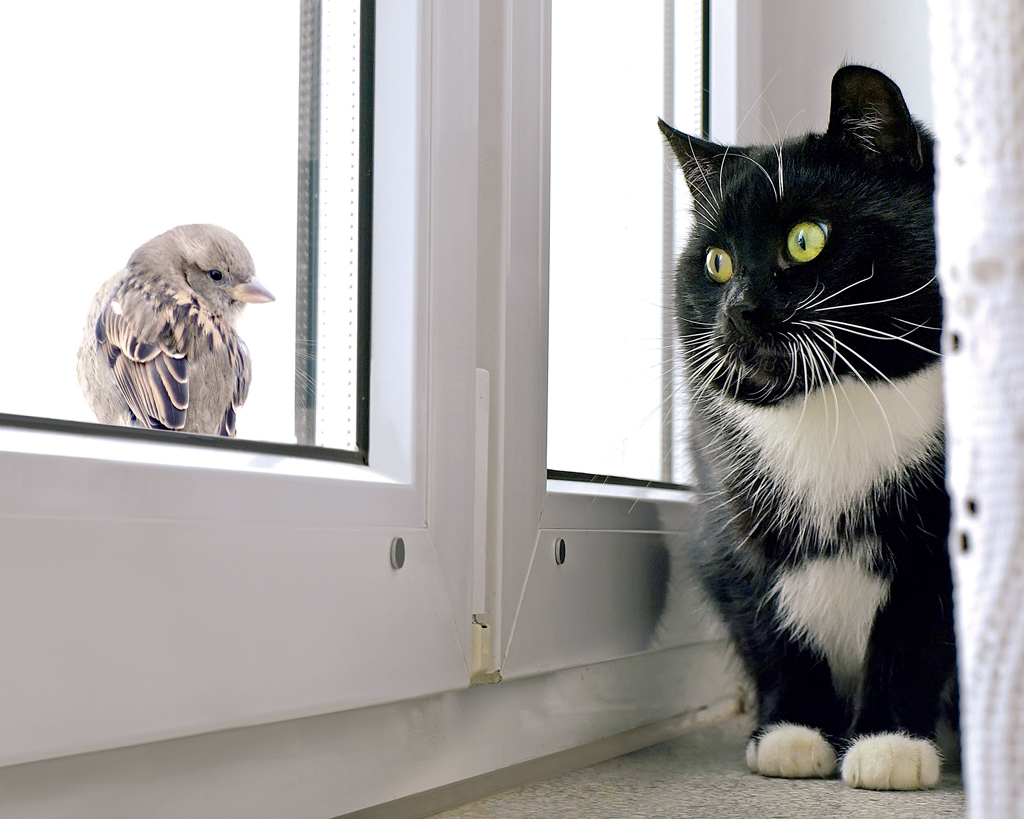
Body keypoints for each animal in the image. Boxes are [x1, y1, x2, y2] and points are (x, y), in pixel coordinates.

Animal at [659, 67, 954, 790]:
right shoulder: (730, 514)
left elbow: (916, 629)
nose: (739, 309)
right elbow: (770, 622)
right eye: (716, 263)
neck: (835, 402)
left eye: (805, 239)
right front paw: (791, 733)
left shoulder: (940, 532)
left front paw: (889, 744)